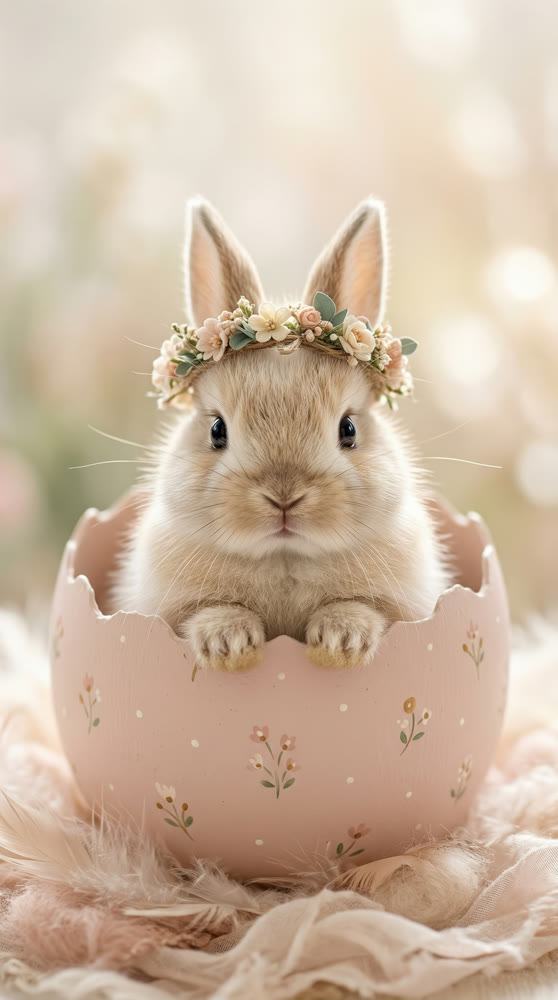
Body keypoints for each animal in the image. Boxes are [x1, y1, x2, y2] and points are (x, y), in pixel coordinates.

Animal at [109, 196, 451, 672]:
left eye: (348, 429)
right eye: (216, 430)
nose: (284, 498)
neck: (284, 560)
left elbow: (364, 608)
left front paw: (340, 641)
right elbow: (207, 611)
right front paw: (231, 645)